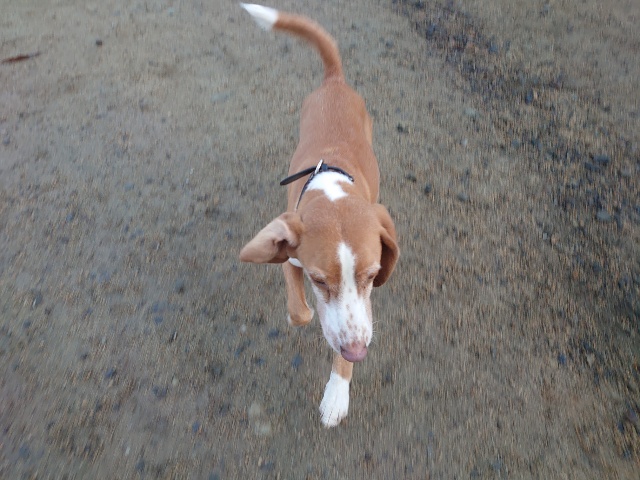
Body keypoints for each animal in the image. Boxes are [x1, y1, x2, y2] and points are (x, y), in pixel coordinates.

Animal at [239, 3, 399, 427]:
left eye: (373, 275)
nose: (357, 352)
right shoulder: (290, 256)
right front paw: (305, 314)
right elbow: (301, 313)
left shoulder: (365, 302)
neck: (330, 187)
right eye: (318, 280)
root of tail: (335, 80)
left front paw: (338, 391)